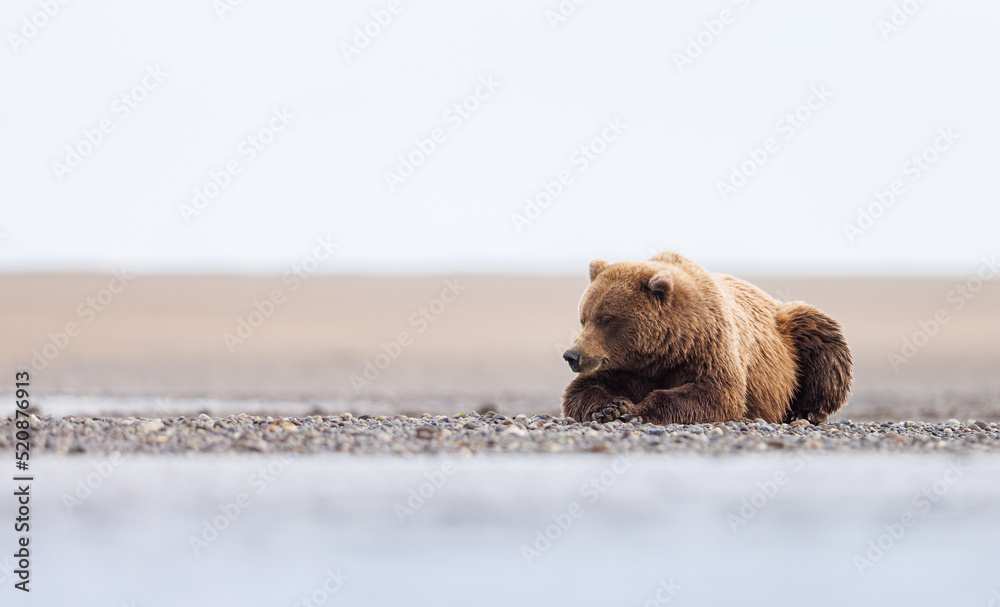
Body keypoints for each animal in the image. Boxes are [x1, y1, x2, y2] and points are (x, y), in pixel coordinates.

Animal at [561, 252, 852, 425]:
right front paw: (611, 407)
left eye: (606, 319)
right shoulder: (626, 366)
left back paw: (804, 412)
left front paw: (637, 411)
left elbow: (715, 393)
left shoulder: (708, 348)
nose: (572, 355)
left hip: (793, 331)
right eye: (584, 317)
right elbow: (583, 388)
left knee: (823, 343)